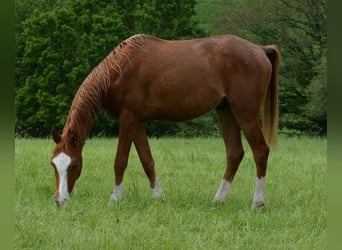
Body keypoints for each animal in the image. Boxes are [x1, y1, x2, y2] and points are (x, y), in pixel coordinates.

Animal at [50, 34, 280, 208]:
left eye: (74, 165)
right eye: (53, 164)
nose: (60, 201)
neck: (120, 69)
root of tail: (260, 49)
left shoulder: (128, 118)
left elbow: (120, 160)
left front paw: (115, 198)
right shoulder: (137, 121)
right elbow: (147, 160)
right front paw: (158, 196)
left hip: (246, 114)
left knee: (260, 151)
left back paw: (257, 202)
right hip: (226, 111)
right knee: (234, 154)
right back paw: (218, 199)